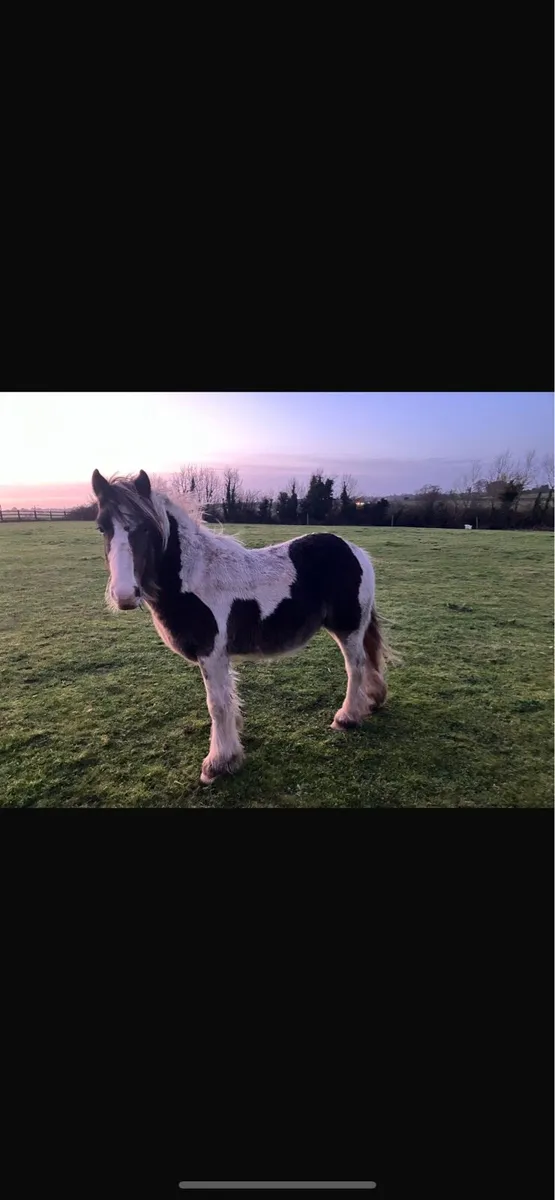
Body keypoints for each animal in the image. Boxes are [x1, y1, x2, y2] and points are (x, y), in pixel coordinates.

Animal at [91, 468, 393, 785]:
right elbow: (228, 701)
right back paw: (372, 701)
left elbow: (217, 704)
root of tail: (355, 551)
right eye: (101, 528)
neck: (194, 578)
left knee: (356, 666)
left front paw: (217, 764)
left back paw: (347, 718)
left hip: (348, 628)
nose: (125, 595)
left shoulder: (212, 653)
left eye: (147, 529)